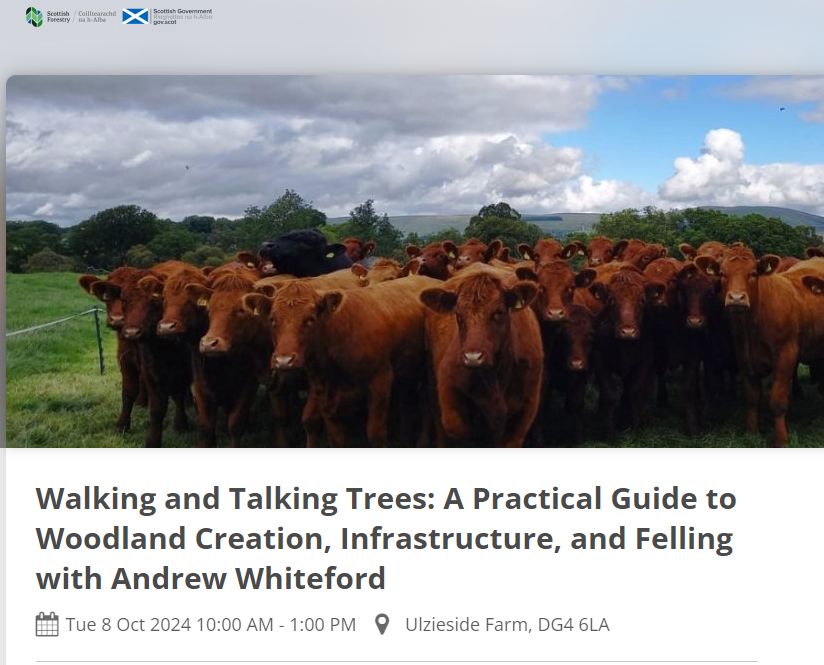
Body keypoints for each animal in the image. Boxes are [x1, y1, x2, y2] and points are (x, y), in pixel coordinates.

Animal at [422, 268, 544, 446]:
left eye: (498, 312)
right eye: (458, 315)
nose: (473, 357)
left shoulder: (527, 407)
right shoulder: (447, 390)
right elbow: (459, 430)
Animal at [696, 246, 824, 444]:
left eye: (753, 273)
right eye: (722, 274)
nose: (736, 298)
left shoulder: (786, 355)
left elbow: (777, 401)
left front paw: (781, 440)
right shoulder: (743, 356)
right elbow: (751, 396)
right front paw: (752, 432)